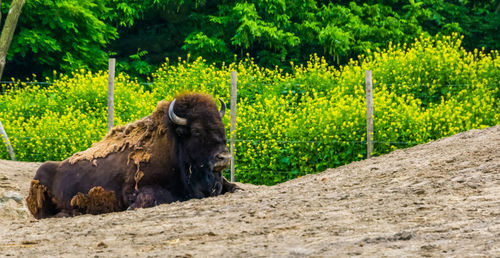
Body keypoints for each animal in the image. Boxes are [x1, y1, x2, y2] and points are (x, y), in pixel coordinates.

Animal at [26, 91, 239, 219]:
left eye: (221, 126)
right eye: (196, 130)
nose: (224, 158)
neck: (173, 144)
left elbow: (233, 187)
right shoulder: (135, 190)